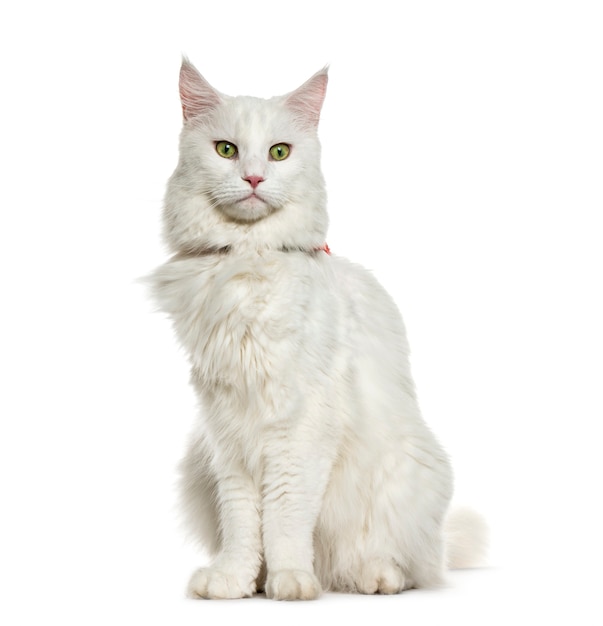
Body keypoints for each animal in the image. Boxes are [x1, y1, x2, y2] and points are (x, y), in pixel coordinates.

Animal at [151, 59, 486, 600]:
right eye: (226, 150)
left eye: (279, 152)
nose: (253, 177)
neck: (248, 261)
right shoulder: (228, 436)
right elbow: (243, 524)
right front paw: (234, 580)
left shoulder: (300, 428)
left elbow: (286, 516)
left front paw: (291, 580)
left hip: (409, 476)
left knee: (399, 561)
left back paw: (374, 576)